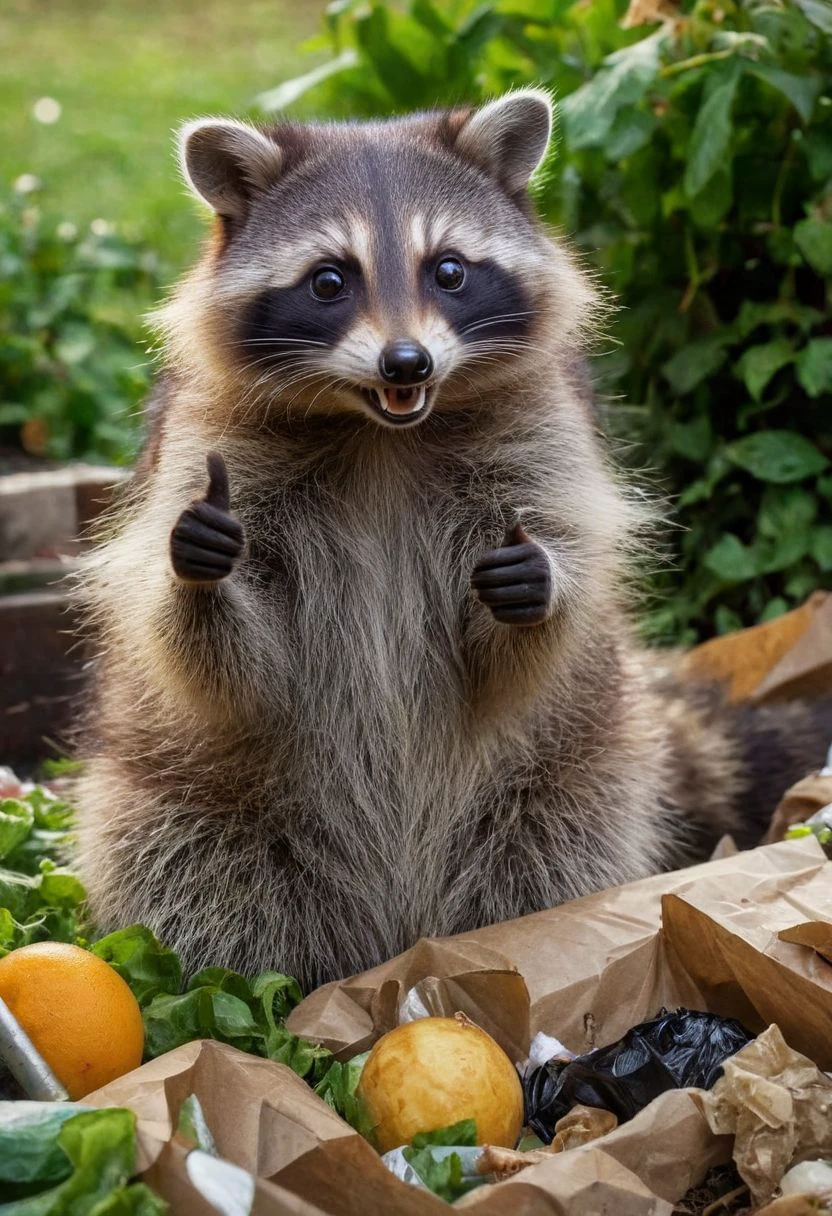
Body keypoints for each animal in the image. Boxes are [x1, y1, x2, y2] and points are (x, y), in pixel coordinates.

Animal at [74, 92, 827, 987]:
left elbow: (546, 624)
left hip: (570, 780)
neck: (381, 432)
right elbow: (215, 661)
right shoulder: (198, 442)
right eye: (329, 281)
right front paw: (201, 574)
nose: (407, 363)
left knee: (553, 855)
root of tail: (396, 928)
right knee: (198, 884)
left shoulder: (548, 434)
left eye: (450, 270)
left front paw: (542, 584)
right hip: (182, 802)